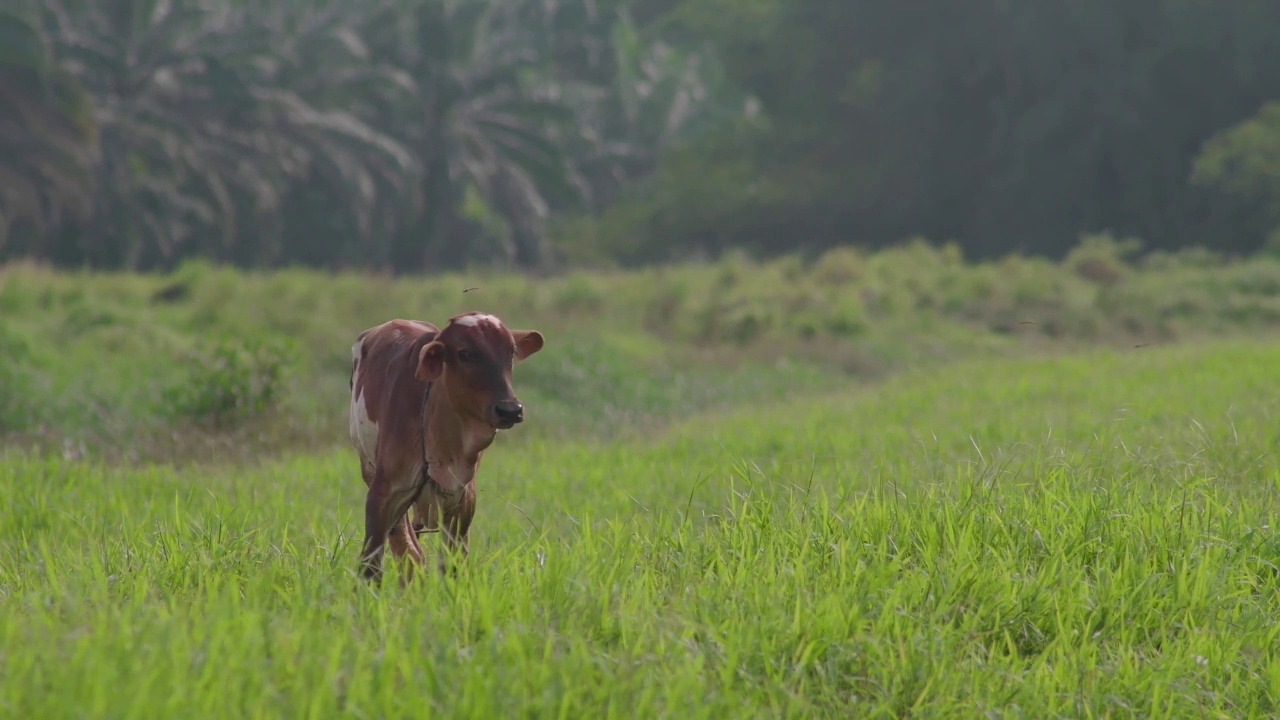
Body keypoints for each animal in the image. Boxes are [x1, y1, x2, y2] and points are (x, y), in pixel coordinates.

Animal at [350, 311, 545, 579]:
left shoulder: (463, 503)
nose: (509, 410)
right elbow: (373, 564)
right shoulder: (383, 495)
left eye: (511, 352)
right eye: (464, 353)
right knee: (408, 552)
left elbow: (451, 566)